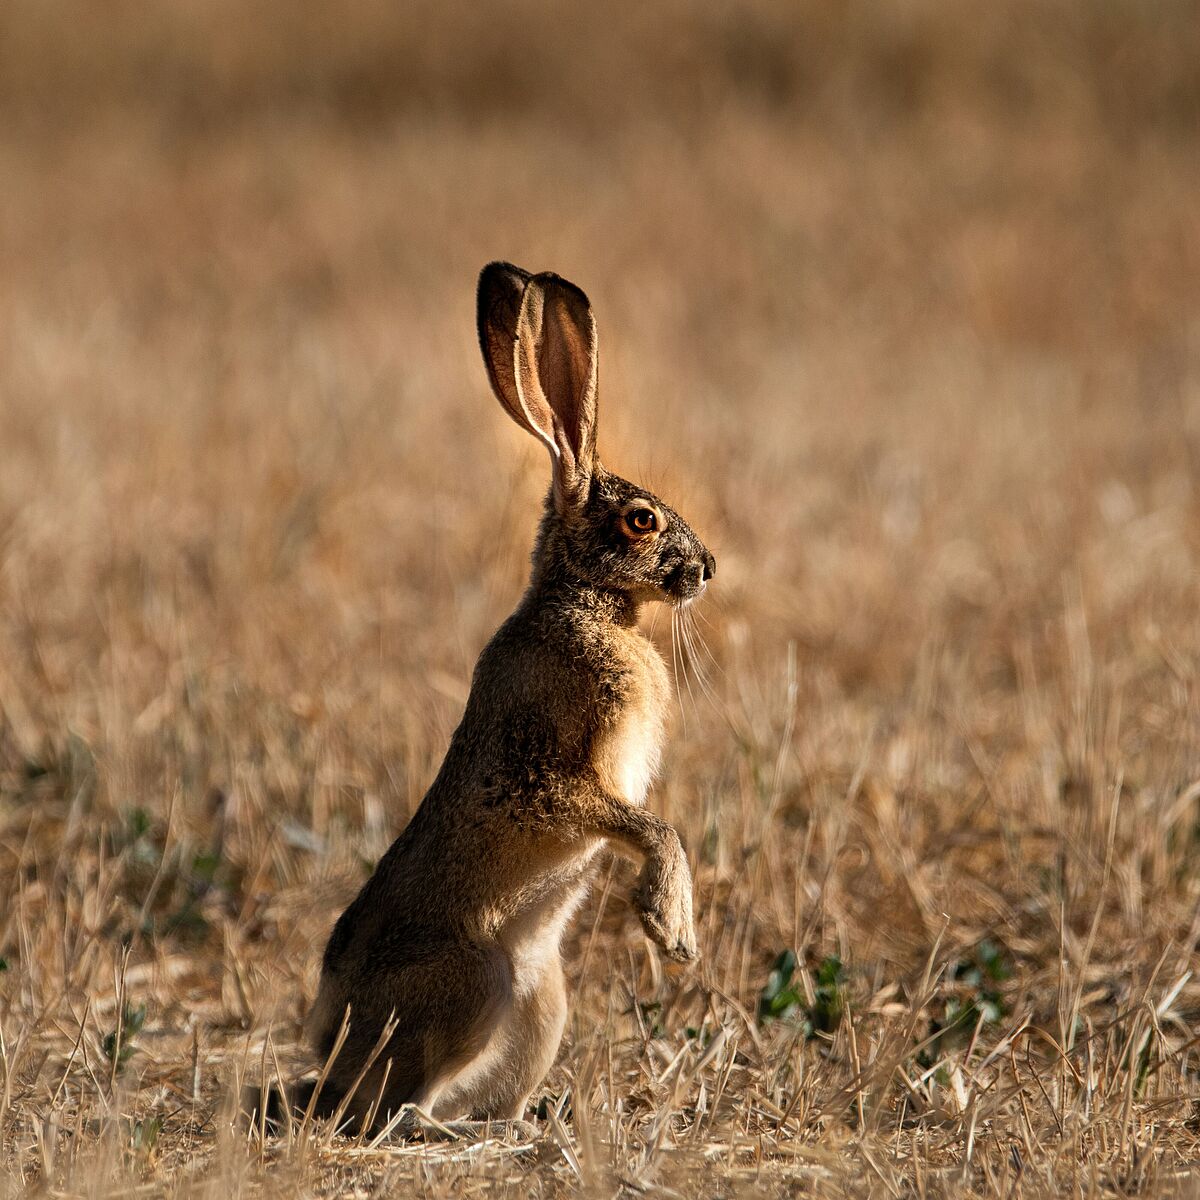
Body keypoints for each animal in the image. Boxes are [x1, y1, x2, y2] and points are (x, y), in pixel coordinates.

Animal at [281, 262, 716, 1139]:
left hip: (543, 997)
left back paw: (527, 1120)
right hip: (472, 984)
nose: (708, 569)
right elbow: (651, 827)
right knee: (391, 1109)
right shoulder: (543, 775)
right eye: (640, 520)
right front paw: (670, 927)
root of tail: (328, 1043)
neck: (583, 604)